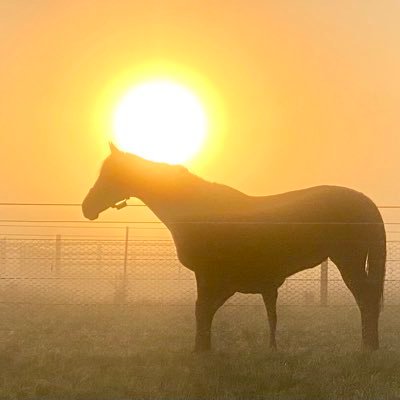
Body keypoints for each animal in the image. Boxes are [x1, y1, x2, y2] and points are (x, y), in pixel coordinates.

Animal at [81, 145, 384, 352]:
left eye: (110, 174)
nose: (87, 207)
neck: (197, 209)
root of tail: (365, 201)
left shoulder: (208, 275)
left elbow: (202, 310)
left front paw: (201, 350)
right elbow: (209, 310)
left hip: (349, 261)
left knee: (366, 298)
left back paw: (367, 347)